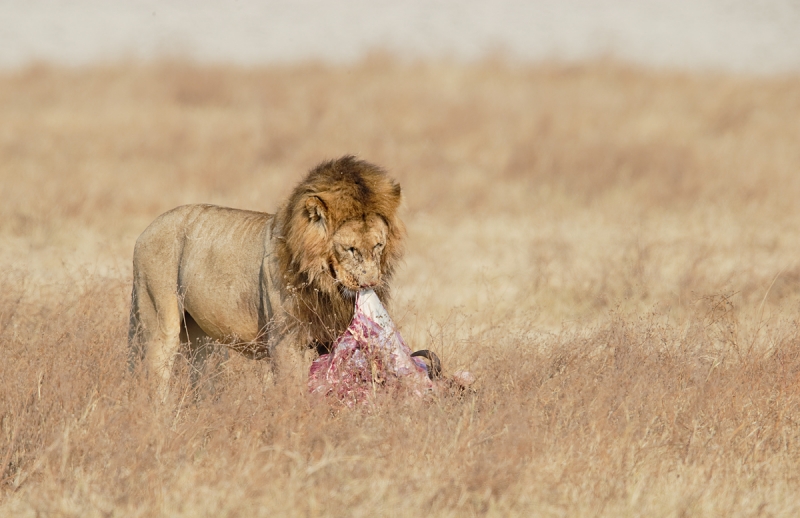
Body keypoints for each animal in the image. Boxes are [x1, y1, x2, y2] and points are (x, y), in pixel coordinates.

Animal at [131, 156, 410, 396]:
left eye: (378, 245)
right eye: (350, 248)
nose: (370, 282)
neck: (325, 285)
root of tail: (147, 230)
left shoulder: (332, 337)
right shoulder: (285, 339)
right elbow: (292, 389)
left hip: (201, 335)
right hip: (158, 319)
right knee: (153, 376)